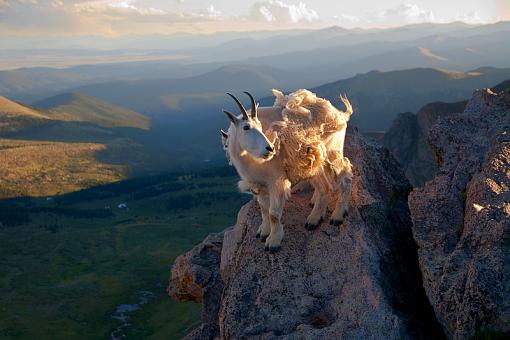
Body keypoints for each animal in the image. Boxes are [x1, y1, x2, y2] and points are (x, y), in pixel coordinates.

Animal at [221, 89, 352, 251]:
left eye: (260, 126)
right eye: (246, 127)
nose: (270, 149)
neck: (251, 161)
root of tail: (340, 114)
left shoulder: (276, 181)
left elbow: (273, 214)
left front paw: (273, 242)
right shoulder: (260, 185)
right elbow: (264, 209)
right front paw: (263, 232)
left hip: (332, 151)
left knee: (343, 178)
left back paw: (334, 216)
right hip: (316, 161)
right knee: (326, 186)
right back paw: (317, 214)